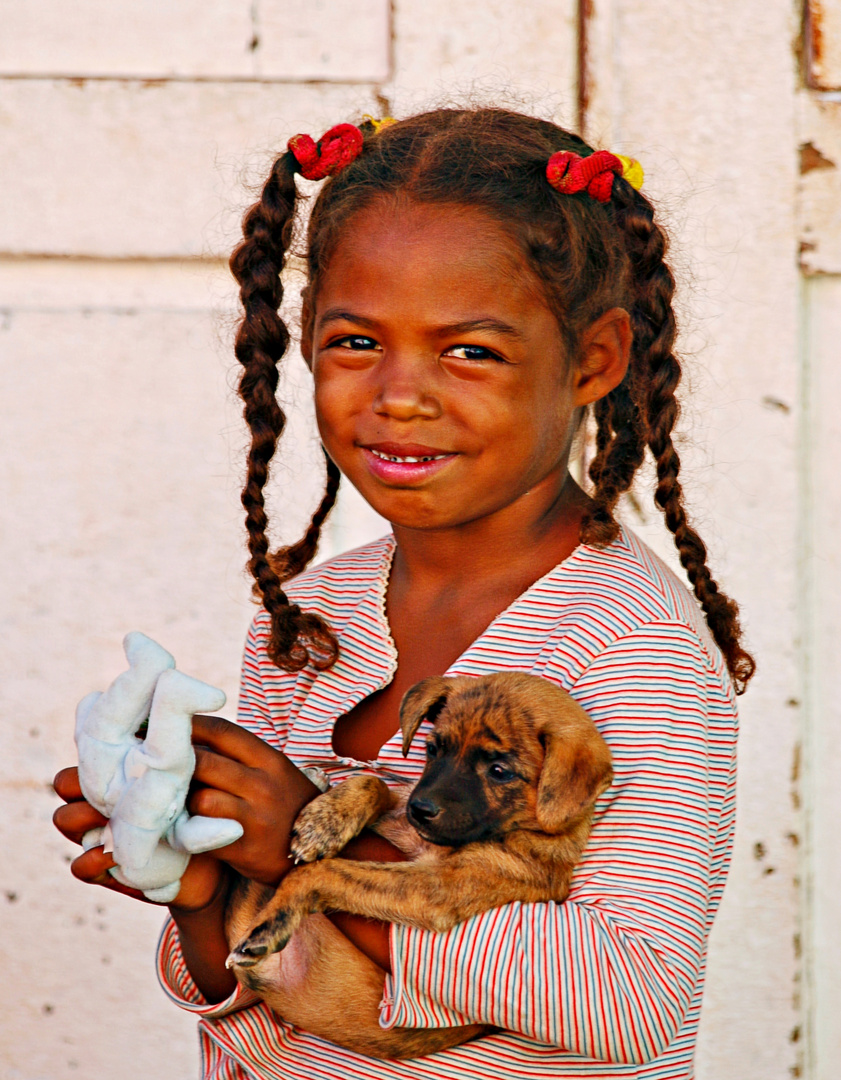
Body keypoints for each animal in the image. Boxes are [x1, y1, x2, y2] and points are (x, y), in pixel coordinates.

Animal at [226, 669, 613, 1058]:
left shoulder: (436, 888)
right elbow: (376, 784)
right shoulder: (405, 824)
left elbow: (325, 872)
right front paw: (325, 821)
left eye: (499, 770)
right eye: (433, 750)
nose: (421, 809)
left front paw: (272, 923)